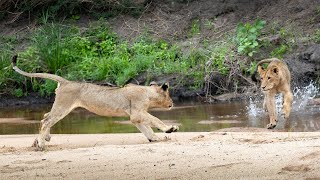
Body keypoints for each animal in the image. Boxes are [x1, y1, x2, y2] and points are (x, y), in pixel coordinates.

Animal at [11, 54, 179, 150]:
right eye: (169, 94)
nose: (172, 103)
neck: (148, 93)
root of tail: (66, 81)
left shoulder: (135, 117)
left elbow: (146, 128)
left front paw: (154, 138)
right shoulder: (137, 112)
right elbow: (155, 119)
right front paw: (170, 128)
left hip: (61, 106)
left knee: (44, 117)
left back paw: (42, 139)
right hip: (63, 106)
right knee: (46, 120)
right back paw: (41, 144)